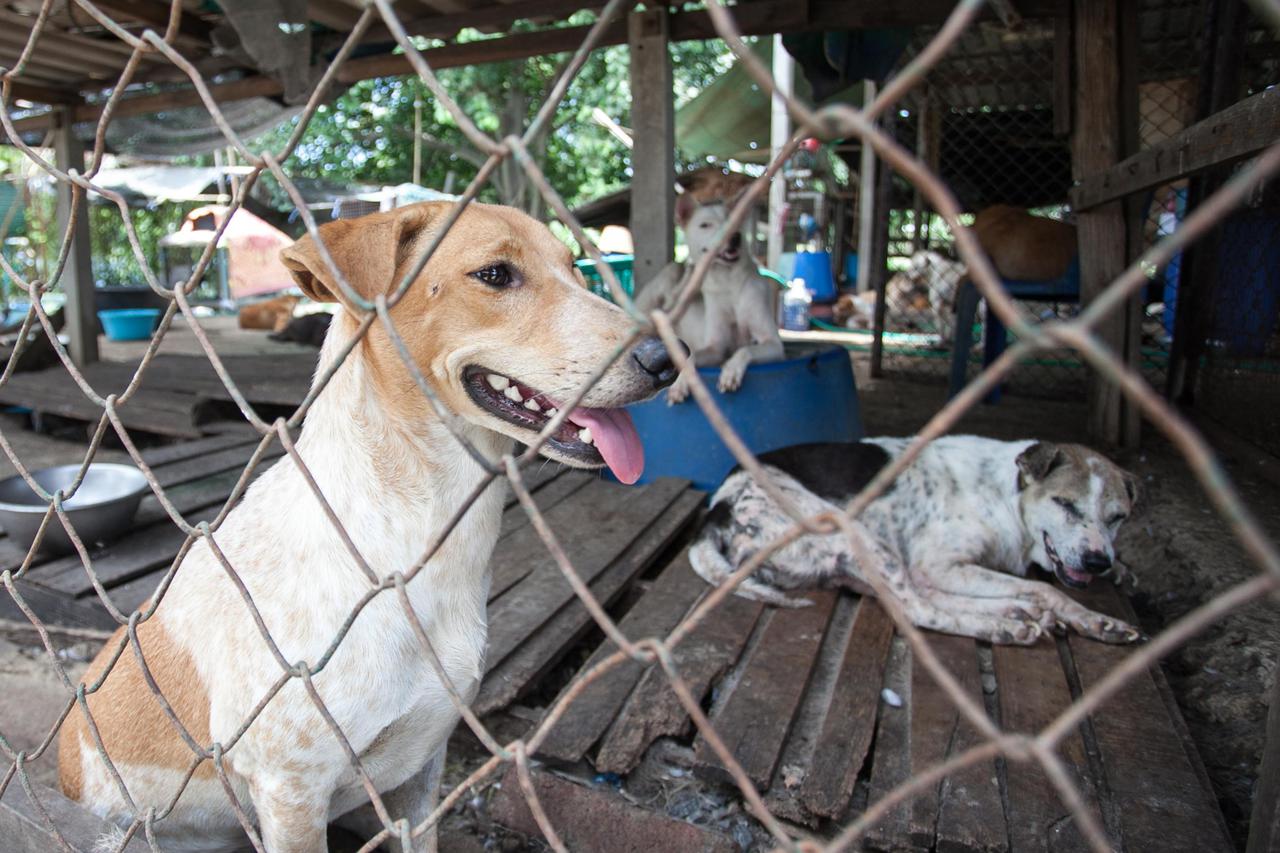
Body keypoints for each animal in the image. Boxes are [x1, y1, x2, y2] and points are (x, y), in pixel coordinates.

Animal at [57, 202, 680, 845]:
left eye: (575, 269)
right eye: (495, 275)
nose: (666, 360)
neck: (406, 538)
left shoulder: (423, 770)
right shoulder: (291, 791)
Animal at [691, 435, 1141, 640]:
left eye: (1118, 517)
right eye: (1065, 503)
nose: (1098, 562)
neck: (1005, 494)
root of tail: (719, 506)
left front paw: (1100, 617)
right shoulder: (940, 565)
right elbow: (1047, 588)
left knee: (920, 598)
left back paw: (1015, 613)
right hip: (855, 535)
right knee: (916, 610)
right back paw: (1004, 626)